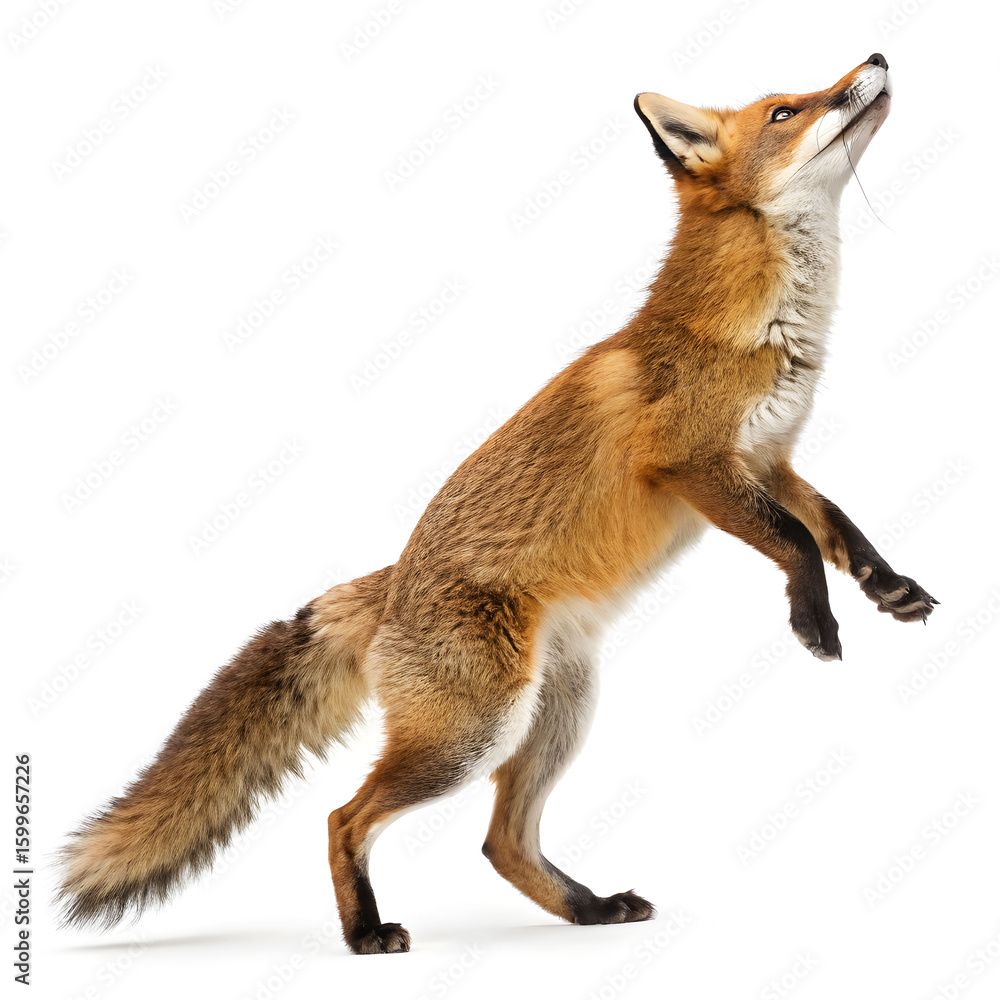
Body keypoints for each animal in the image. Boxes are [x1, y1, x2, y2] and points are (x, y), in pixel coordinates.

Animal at [58, 53, 937, 954]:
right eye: (787, 110)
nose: (875, 59)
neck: (755, 329)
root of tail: (388, 587)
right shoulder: (691, 464)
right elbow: (794, 540)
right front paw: (815, 621)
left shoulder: (769, 458)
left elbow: (835, 525)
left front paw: (887, 586)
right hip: (473, 733)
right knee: (346, 818)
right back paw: (365, 933)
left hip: (557, 715)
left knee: (502, 842)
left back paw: (588, 909)